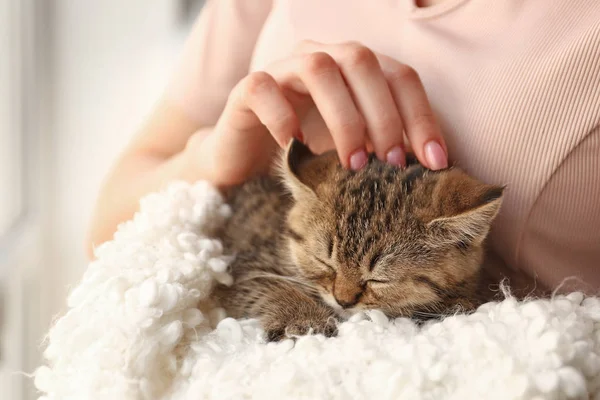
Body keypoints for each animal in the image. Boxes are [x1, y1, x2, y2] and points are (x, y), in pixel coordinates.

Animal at [213, 138, 504, 340]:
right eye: (324, 262)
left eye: (379, 279)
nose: (343, 301)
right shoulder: (245, 268)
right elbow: (271, 285)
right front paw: (305, 318)